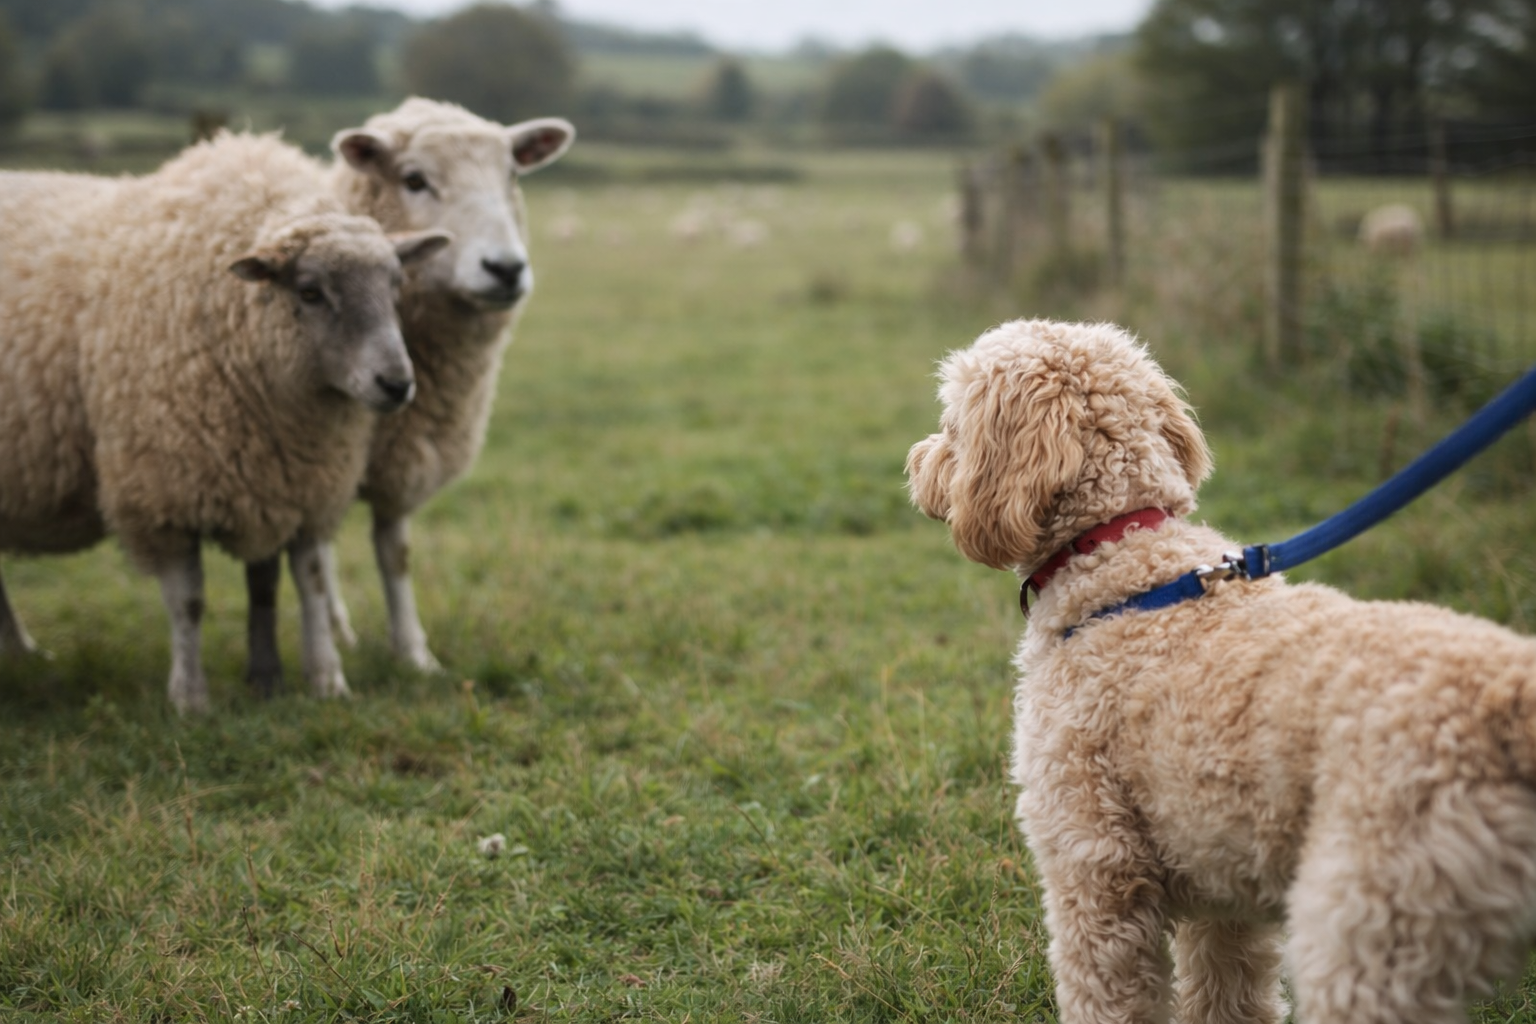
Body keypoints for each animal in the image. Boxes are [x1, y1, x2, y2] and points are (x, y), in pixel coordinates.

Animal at [0, 133, 449, 713]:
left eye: (397, 286)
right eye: (309, 291)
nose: (396, 383)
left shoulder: (296, 484)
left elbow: (302, 584)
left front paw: (318, 681)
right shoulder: (165, 491)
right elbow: (189, 602)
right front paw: (191, 700)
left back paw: (20, 654)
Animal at [293, 98, 575, 671]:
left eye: (512, 174)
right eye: (415, 180)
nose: (505, 268)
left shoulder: (403, 460)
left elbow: (394, 552)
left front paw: (414, 654)